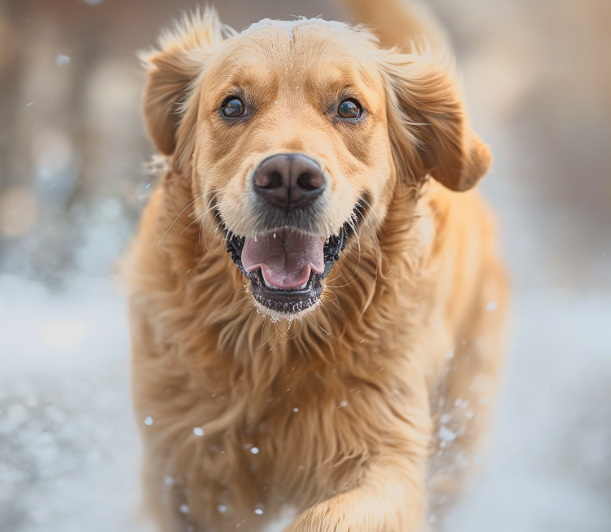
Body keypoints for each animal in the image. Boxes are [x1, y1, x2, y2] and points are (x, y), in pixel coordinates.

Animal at [123, 2, 506, 528]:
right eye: (233, 106)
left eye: (349, 108)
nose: (287, 177)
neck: (275, 349)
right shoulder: (183, 464)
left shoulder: (387, 450)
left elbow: (329, 514)